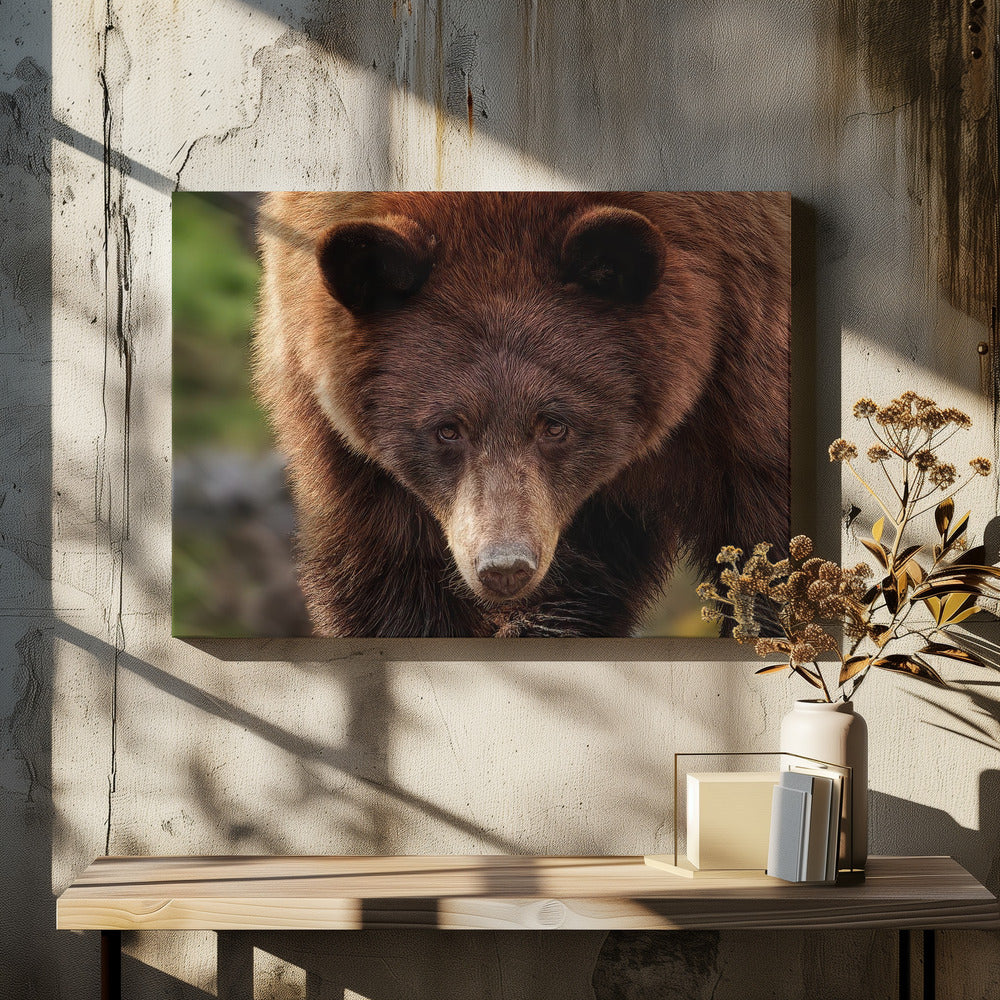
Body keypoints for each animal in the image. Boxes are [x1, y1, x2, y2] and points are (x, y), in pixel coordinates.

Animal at [253, 191, 790, 638]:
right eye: (447, 430)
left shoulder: (745, 368)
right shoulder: (338, 432)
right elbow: (384, 571)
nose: (504, 567)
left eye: (555, 424)